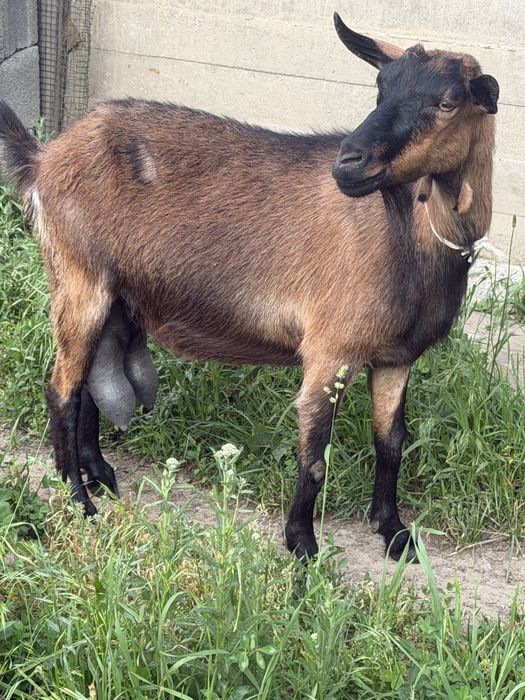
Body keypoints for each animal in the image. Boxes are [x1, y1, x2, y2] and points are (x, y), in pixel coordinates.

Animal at [0, 14, 499, 562]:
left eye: (447, 102)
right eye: (379, 87)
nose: (348, 162)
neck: (402, 235)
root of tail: (44, 160)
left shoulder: (397, 357)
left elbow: (391, 442)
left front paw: (395, 534)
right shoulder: (329, 350)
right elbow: (315, 455)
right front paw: (302, 546)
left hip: (111, 295)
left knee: (89, 381)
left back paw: (101, 476)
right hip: (77, 277)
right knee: (61, 390)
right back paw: (78, 501)